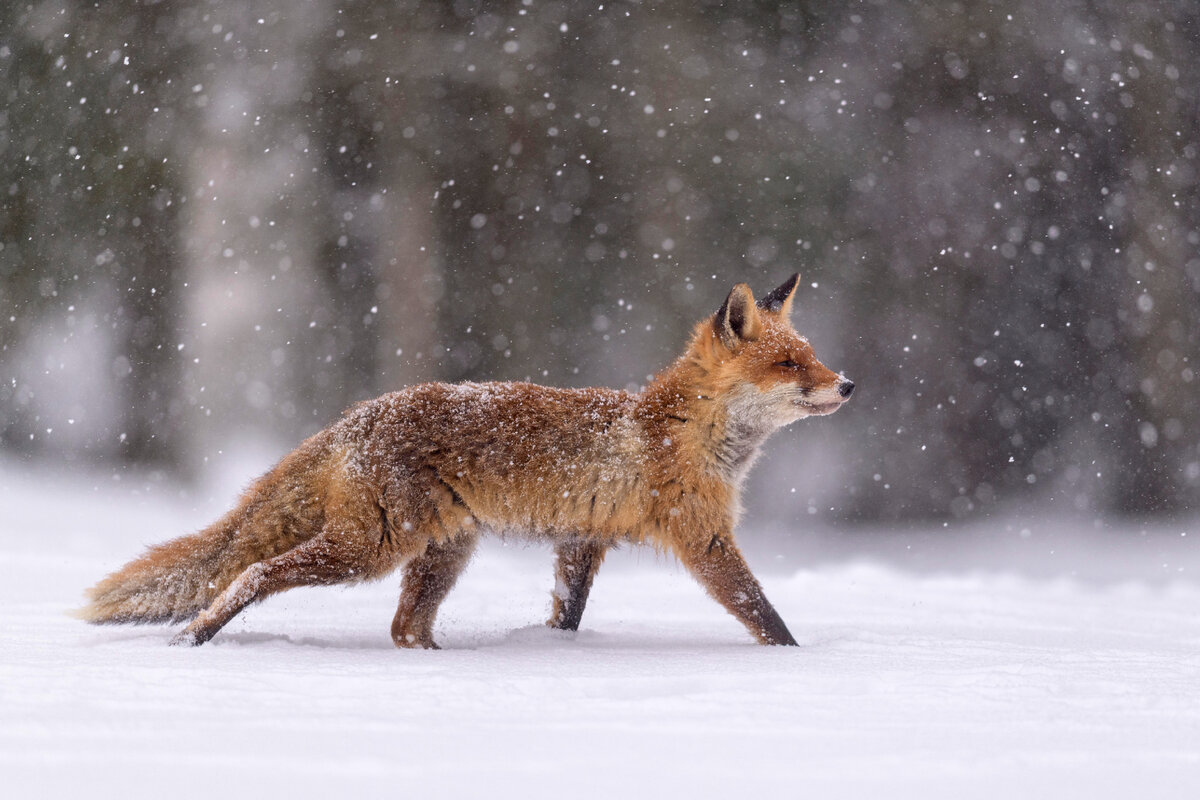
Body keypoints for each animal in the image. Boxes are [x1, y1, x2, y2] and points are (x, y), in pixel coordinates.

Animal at [79, 272, 854, 647]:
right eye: (789, 364)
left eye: (812, 356)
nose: (847, 384)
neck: (682, 431)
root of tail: (358, 415)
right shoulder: (703, 536)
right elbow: (765, 614)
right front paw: (799, 665)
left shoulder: (583, 540)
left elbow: (568, 612)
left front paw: (556, 651)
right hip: (373, 548)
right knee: (255, 572)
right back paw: (200, 633)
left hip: (443, 552)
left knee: (404, 629)